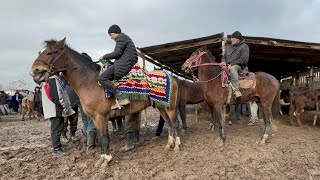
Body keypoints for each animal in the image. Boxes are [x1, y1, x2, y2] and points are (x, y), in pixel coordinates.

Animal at [29, 38, 180, 167]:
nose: (34, 70)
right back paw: (169, 144)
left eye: (50, 52)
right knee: (169, 123)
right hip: (161, 107)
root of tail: (171, 77)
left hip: (170, 107)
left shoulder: (101, 117)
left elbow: (104, 138)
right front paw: (101, 159)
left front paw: (107, 160)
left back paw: (177, 145)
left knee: (174, 123)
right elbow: (101, 138)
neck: (89, 82)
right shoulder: (95, 119)